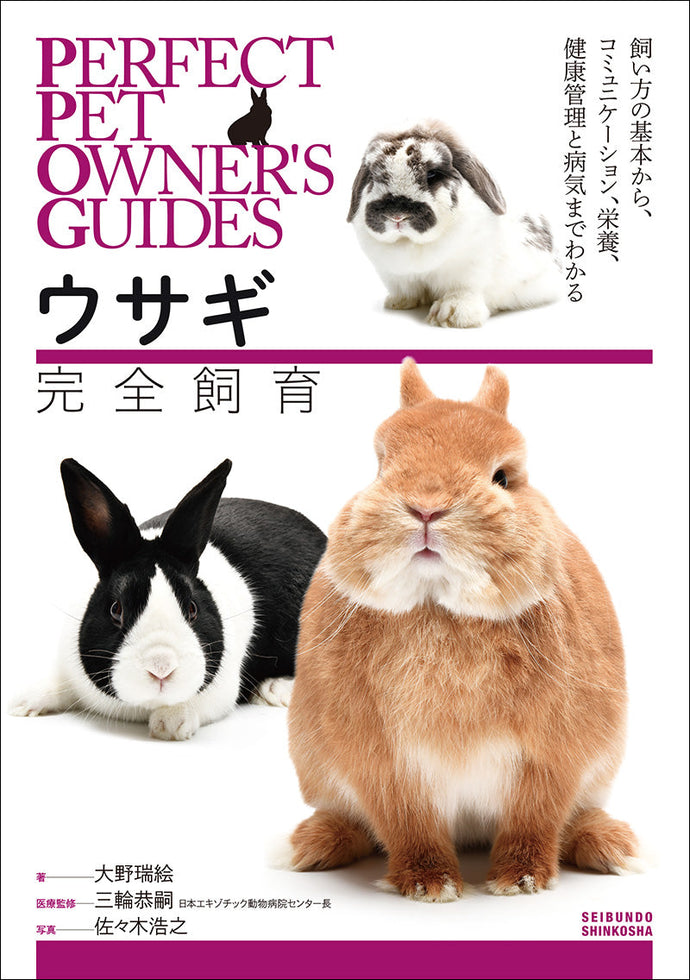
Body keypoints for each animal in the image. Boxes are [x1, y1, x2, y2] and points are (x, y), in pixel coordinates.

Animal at [10, 458, 326, 740]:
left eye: (192, 609)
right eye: (116, 609)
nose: (161, 669)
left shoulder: (222, 689)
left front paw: (171, 724)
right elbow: (60, 684)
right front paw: (22, 703)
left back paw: (277, 689)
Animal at [287, 359, 639, 901]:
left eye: (503, 477)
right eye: (381, 467)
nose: (427, 507)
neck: (441, 609)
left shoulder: (551, 759)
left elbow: (535, 820)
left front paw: (521, 880)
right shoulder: (388, 769)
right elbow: (408, 826)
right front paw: (429, 885)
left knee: (573, 819)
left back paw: (611, 846)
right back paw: (314, 846)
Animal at [347, 123, 563, 329]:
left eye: (432, 174)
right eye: (373, 176)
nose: (397, 215)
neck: (413, 245)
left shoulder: (470, 271)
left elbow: (463, 292)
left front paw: (451, 316)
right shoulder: (396, 277)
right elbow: (406, 291)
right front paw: (397, 303)